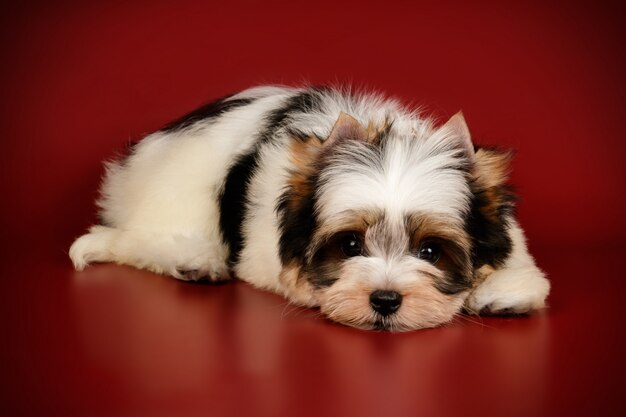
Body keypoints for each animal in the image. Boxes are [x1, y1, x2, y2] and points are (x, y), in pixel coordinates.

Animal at [68, 85, 544, 332]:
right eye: (350, 245)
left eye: (430, 251)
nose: (385, 300)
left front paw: (507, 289)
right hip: (173, 199)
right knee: (135, 243)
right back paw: (194, 262)